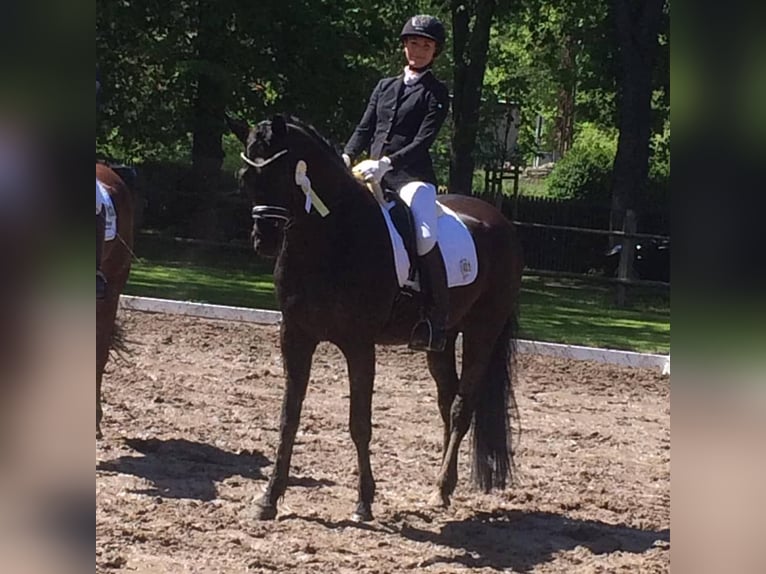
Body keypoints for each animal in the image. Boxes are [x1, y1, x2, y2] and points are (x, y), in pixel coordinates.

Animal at [229, 114, 524, 522]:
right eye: (247, 178)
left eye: (284, 174)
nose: (264, 242)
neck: (330, 239)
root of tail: (501, 222)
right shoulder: (295, 335)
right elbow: (289, 418)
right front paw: (268, 499)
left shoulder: (359, 344)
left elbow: (359, 423)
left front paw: (364, 502)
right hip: (442, 338)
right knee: (447, 402)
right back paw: (443, 488)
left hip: (484, 330)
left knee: (462, 407)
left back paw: (439, 491)